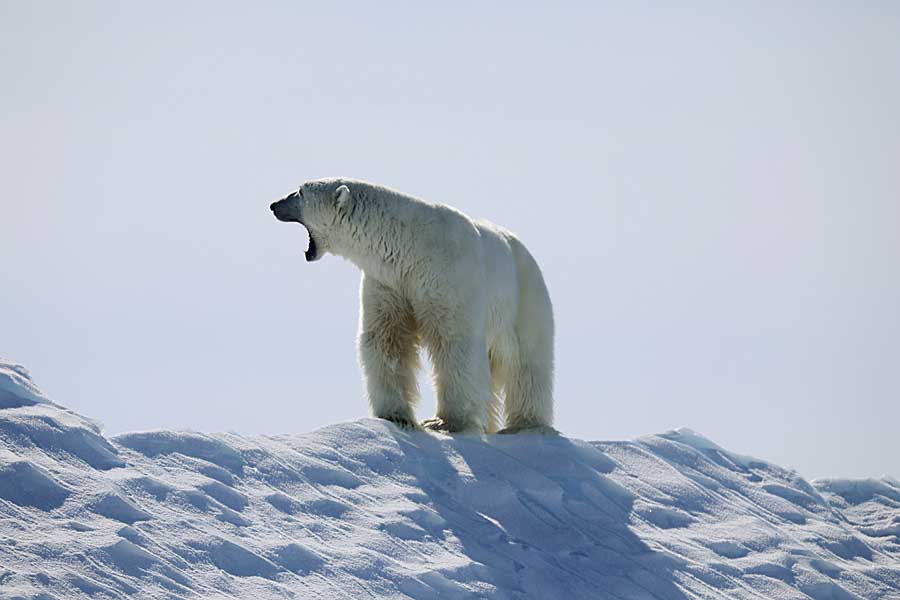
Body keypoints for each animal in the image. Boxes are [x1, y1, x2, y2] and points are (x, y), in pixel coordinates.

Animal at [268, 176, 552, 434]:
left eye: (300, 192)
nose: (273, 205)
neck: (409, 245)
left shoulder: (447, 276)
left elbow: (454, 342)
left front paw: (446, 422)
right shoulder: (389, 281)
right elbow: (386, 338)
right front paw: (396, 416)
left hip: (524, 295)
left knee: (529, 362)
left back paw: (525, 424)